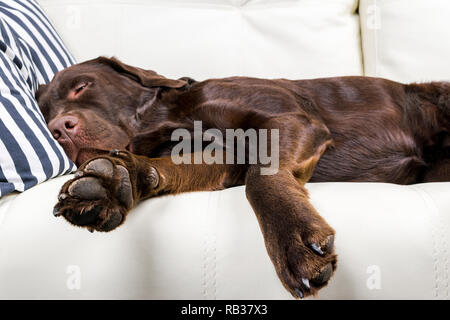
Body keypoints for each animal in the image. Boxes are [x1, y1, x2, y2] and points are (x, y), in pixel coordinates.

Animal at [36, 56, 450, 298]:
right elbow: (171, 168)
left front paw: (293, 239)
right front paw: (114, 182)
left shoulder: (288, 119)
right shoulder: (223, 157)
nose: (58, 129)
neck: (166, 113)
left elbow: (261, 178)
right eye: (44, 113)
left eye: (81, 86)